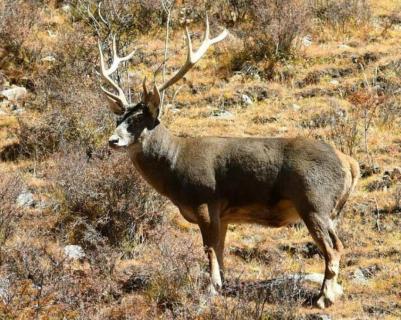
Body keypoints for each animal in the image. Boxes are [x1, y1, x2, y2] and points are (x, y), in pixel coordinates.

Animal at [97, 16, 360, 308]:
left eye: (137, 120)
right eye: (118, 119)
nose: (112, 140)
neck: (175, 164)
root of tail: (350, 163)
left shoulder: (205, 200)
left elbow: (210, 250)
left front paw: (211, 289)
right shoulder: (222, 214)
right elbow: (220, 252)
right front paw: (221, 285)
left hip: (314, 201)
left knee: (334, 248)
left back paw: (324, 297)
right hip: (329, 210)